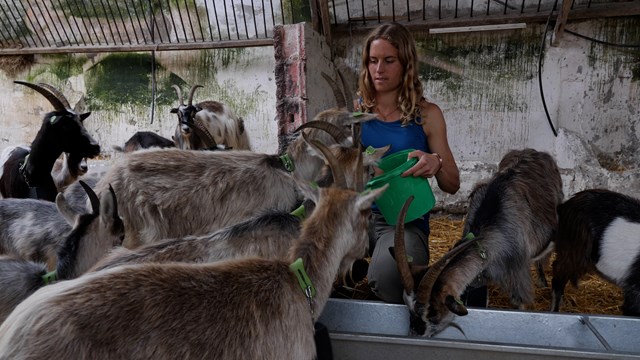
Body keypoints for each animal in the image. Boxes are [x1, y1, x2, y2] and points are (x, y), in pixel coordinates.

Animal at [392, 148, 564, 336]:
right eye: (408, 307)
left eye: (433, 312)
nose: (415, 334)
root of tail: (534, 152)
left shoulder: (518, 278)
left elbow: (521, 304)